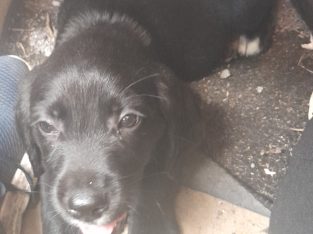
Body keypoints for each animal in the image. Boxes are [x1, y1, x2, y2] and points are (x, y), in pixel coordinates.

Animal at [16, 0, 276, 234]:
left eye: (128, 120)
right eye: (46, 126)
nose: (85, 207)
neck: (99, 23)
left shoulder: (174, 143)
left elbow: (153, 185)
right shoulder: (49, 171)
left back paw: (248, 41)